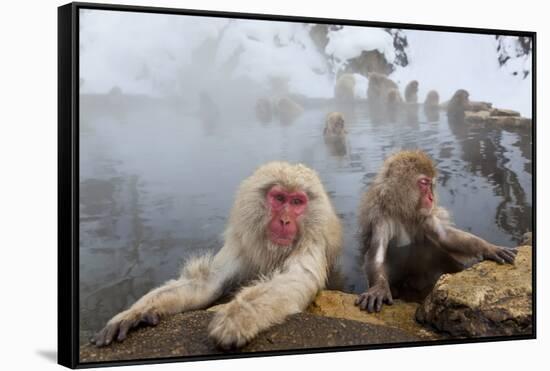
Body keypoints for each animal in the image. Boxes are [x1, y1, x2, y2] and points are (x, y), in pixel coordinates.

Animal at [91, 161, 342, 350]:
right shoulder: (242, 246)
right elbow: (208, 281)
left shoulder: (312, 241)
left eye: (297, 202)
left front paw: (238, 317)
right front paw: (135, 312)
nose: (285, 220)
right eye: (280, 198)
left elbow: (296, 278)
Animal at [356, 151, 520, 314]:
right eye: (424, 183)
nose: (431, 197)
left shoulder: (425, 215)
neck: (404, 210)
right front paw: (379, 288)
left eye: (431, 184)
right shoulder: (380, 217)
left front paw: (488, 248)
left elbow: (444, 237)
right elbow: (376, 257)